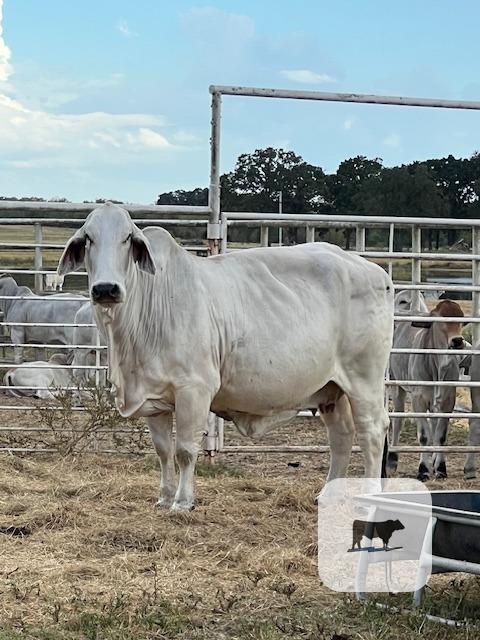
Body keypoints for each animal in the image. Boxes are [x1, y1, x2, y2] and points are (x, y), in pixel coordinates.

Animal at [58, 203, 394, 511]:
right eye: (87, 238)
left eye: (127, 238)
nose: (106, 289)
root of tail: (376, 272)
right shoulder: (154, 398)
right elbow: (163, 450)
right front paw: (163, 498)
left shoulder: (194, 389)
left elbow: (185, 450)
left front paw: (182, 502)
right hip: (331, 388)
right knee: (342, 436)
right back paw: (327, 495)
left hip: (364, 380)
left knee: (373, 432)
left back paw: (369, 499)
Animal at [388, 297, 467, 481]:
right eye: (439, 319)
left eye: (460, 318)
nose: (457, 341)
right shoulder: (418, 399)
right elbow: (424, 436)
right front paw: (423, 469)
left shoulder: (448, 401)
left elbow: (440, 435)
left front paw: (440, 468)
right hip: (397, 386)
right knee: (398, 420)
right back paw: (392, 459)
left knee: (434, 426)